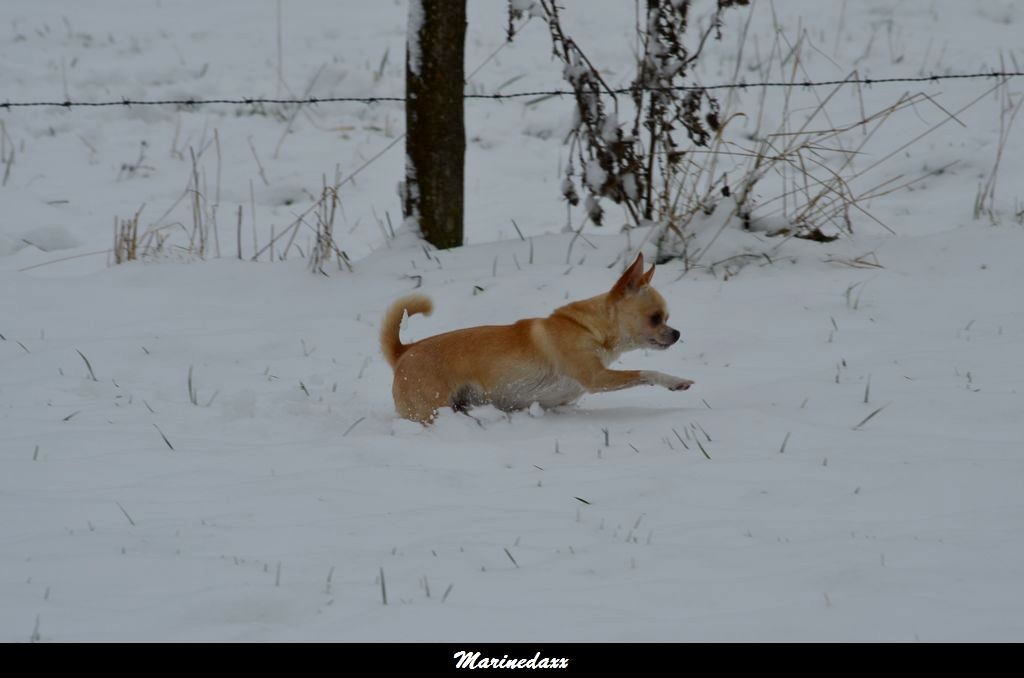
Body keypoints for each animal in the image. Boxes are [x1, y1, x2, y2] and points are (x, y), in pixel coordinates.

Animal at [385, 255, 696, 426]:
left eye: (667, 317)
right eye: (656, 318)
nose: (677, 333)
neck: (589, 328)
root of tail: (404, 352)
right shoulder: (596, 378)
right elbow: (646, 372)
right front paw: (676, 381)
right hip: (429, 410)